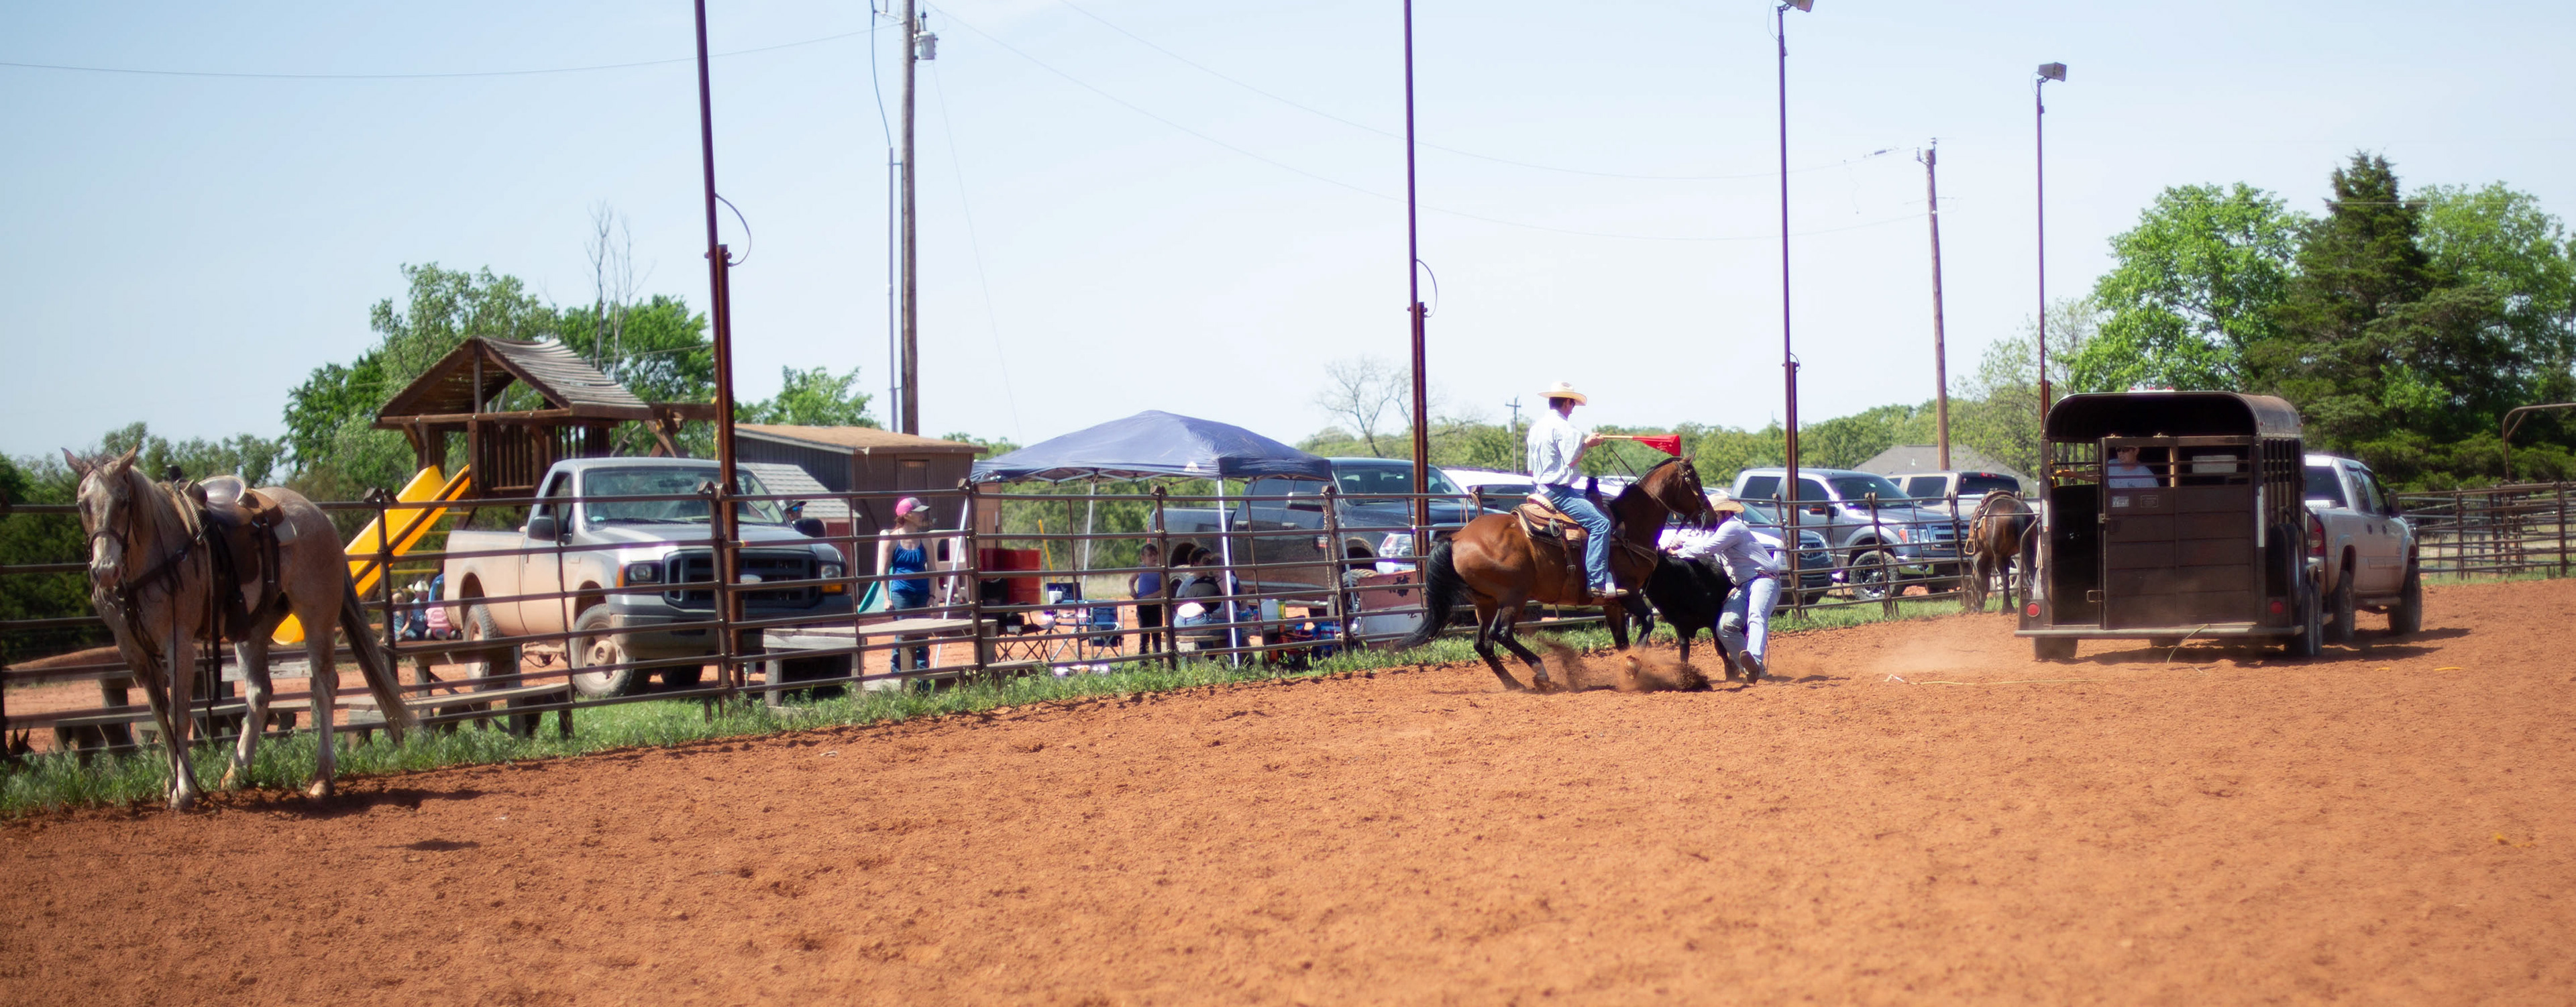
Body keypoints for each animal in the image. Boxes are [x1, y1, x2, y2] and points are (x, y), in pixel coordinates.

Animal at [65, 447, 412, 809]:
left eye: (123, 501)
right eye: (82, 504)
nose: (105, 570)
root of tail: (318, 516)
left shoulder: (179, 643)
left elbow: (179, 715)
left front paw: (184, 789)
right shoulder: (134, 653)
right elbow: (161, 718)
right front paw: (173, 782)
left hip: (316, 616)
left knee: (324, 685)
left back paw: (321, 779)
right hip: (252, 629)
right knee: (259, 693)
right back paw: (237, 771)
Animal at [1400, 457, 1715, 692]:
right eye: (1697, 482)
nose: (1711, 518)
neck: (1627, 527)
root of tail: (1456, 538)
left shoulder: (1612, 603)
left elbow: (1622, 642)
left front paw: (1628, 671)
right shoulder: (1629, 593)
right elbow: (1648, 622)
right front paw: (1631, 667)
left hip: (1485, 601)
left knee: (1483, 643)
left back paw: (1515, 685)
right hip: (1513, 596)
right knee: (1499, 634)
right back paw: (1540, 673)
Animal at [1961, 491, 2037, 613]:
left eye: (1973, 585)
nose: (1975, 608)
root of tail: (2018, 509)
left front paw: (2007, 608)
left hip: (2000, 555)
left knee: (2004, 575)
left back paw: (2006, 607)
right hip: (2030, 547)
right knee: (2033, 571)